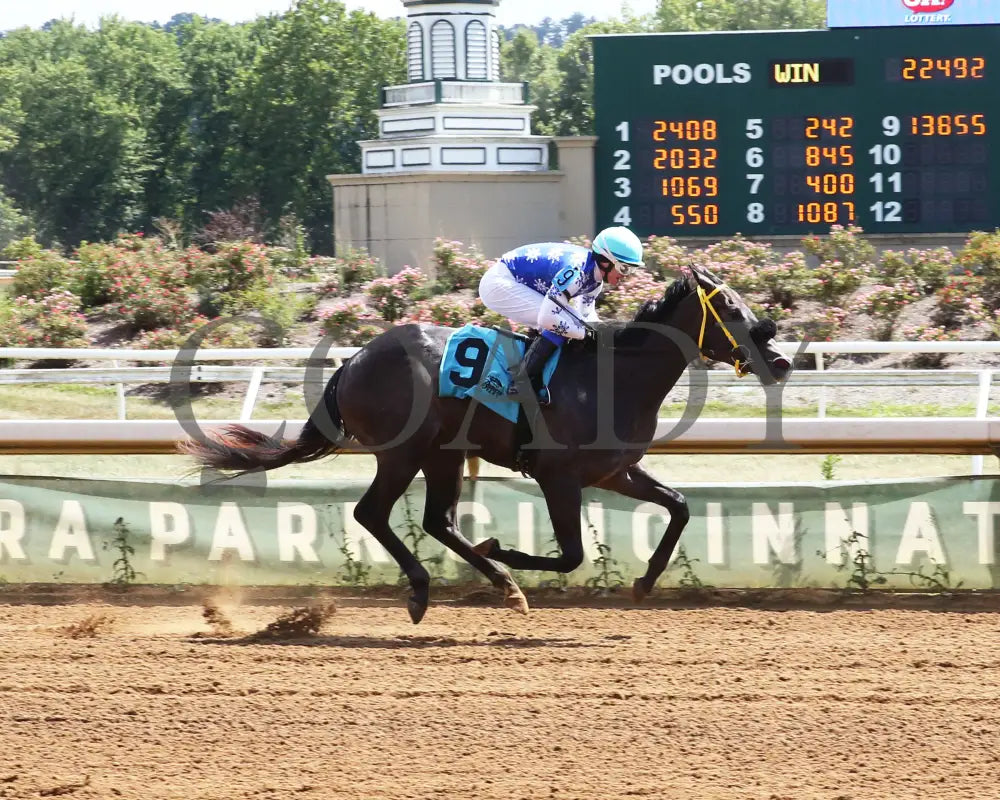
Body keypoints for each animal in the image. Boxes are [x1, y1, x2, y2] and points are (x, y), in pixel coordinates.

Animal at [180, 266, 788, 620]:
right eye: (730, 308)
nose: (780, 361)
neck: (611, 377)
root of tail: (353, 360)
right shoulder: (559, 476)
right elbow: (572, 554)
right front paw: (505, 549)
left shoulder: (615, 471)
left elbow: (679, 508)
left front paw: (643, 583)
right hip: (401, 452)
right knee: (372, 513)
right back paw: (432, 588)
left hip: (442, 455)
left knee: (436, 521)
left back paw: (500, 585)